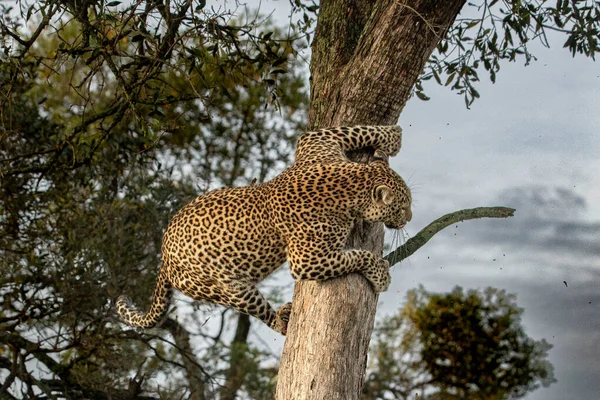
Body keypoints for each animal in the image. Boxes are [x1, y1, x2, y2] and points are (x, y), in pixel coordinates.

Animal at [118, 125, 412, 334]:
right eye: (402, 207)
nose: (409, 218)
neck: (352, 183)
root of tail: (164, 257)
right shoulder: (307, 260)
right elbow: (357, 257)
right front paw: (380, 276)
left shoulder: (316, 141)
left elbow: (355, 130)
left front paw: (392, 136)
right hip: (225, 288)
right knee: (257, 310)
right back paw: (280, 321)